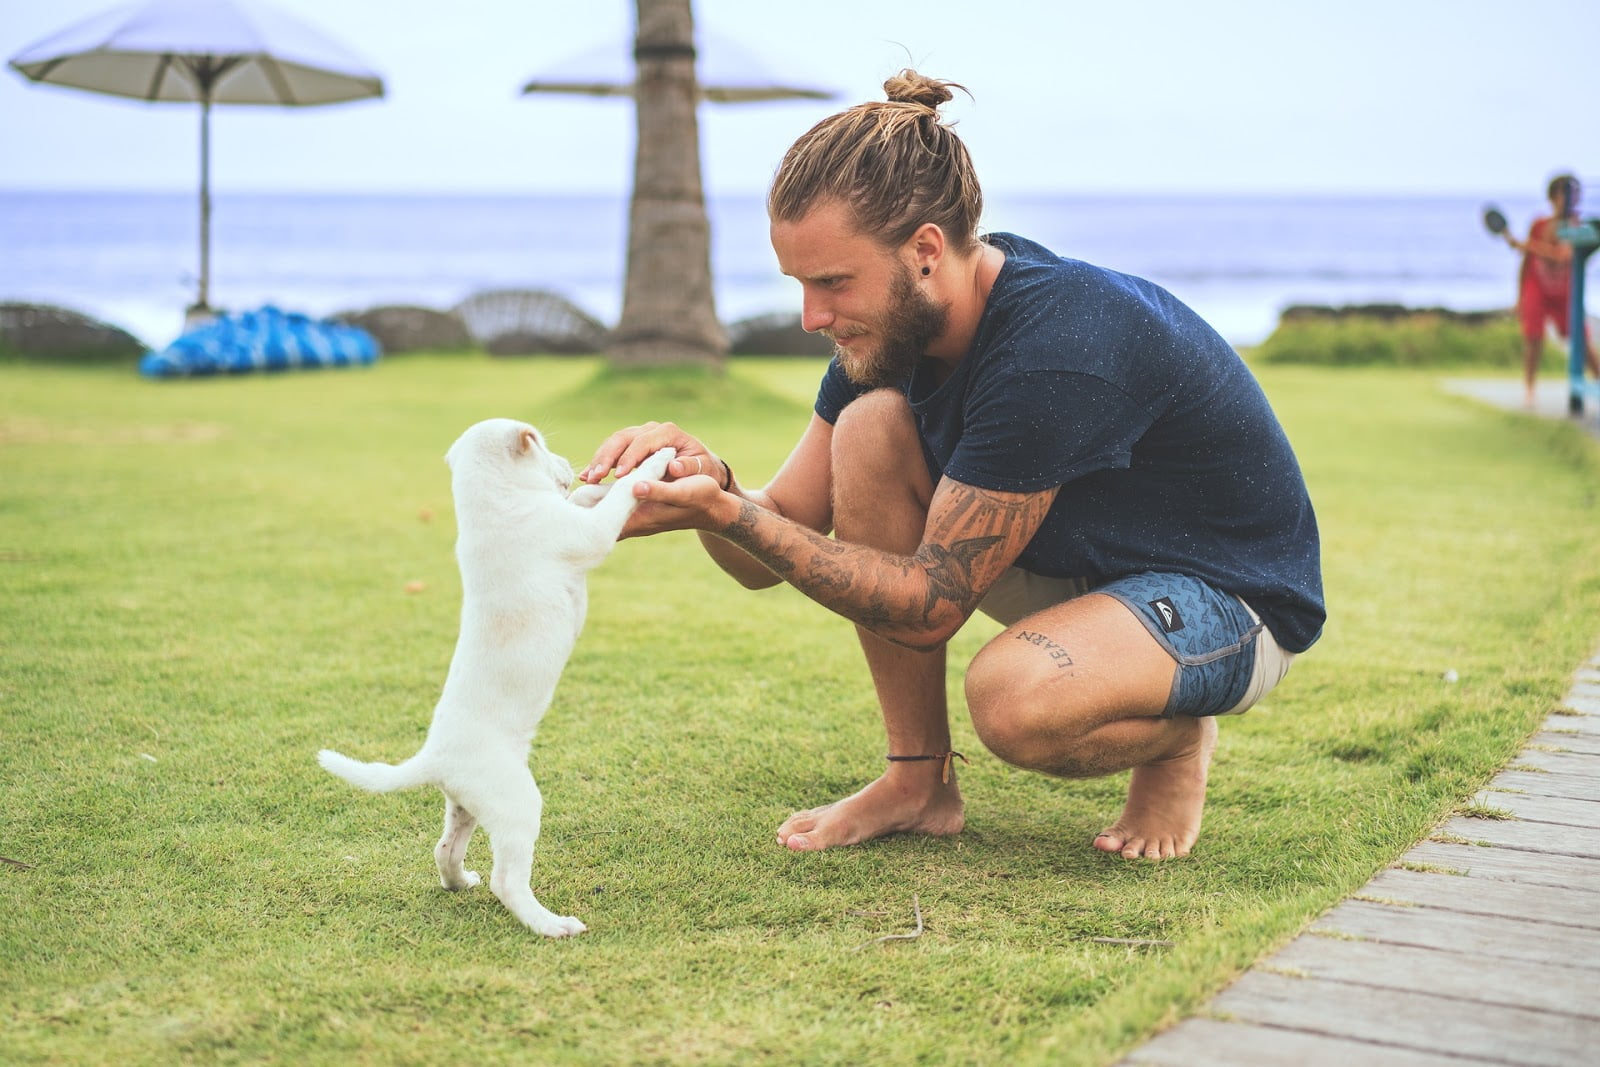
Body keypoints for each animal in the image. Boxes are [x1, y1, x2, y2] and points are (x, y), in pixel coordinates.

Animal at [318, 415, 675, 934]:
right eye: (543, 445)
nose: (572, 466)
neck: (492, 501)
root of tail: (433, 757)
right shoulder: (585, 535)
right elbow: (620, 498)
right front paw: (655, 462)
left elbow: (587, 499)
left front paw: (598, 483)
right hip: (517, 804)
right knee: (506, 880)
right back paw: (551, 925)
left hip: (467, 804)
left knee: (445, 848)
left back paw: (459, 882)